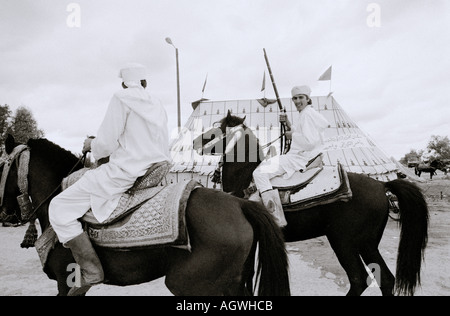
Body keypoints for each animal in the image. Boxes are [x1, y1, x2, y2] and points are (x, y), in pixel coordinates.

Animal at [195, 111, 430, 296]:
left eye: (217, 128)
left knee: (358, 278)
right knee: (386, 279)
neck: (245, 179)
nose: (195, 142)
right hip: (368, 244)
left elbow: (245, 276)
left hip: (344, 242)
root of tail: (382, 185)